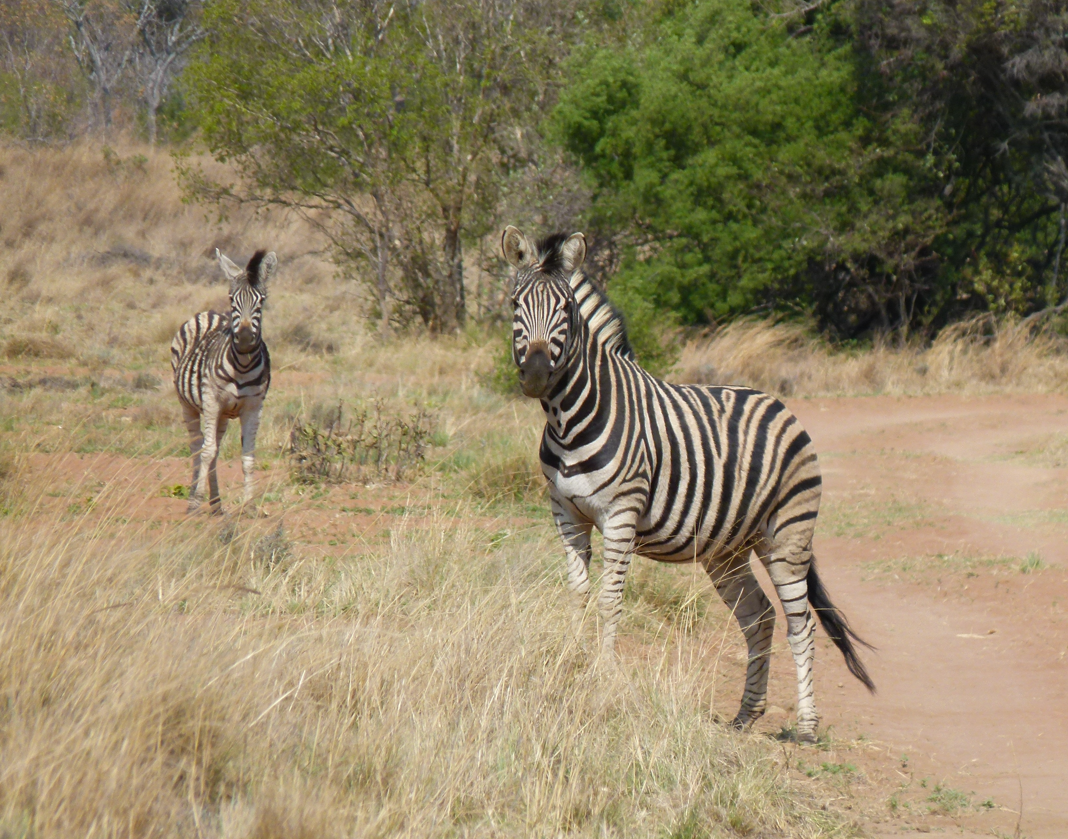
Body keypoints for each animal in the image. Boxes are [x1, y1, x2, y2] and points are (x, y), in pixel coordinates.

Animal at [171, 249, 275, 514]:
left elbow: (248, 456)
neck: (243, 366)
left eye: (261, 301)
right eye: (231, 299)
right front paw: (196, 501)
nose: (246, 337)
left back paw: (216, 503)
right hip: (188, 406)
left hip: (223, 415)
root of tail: (209, 313)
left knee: (215, 449)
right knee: (197, 448)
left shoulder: (254, 407)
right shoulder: (211, 402)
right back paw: (193, 500)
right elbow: (206, 452)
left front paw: (250, 505)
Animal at [501, 226, 874, 742]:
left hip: (788, 534)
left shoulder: (621, 514)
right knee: (759, 615)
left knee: (800, 624)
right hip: (729, 548)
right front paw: (568, 665)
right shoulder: (565, 515)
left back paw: (806, 726)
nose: (537, 375)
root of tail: (778, 403)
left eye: (567, 310)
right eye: (516, 304)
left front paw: (602, 678)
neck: (568, 418)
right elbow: (577, 595)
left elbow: (609, 600)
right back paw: (746, 715)